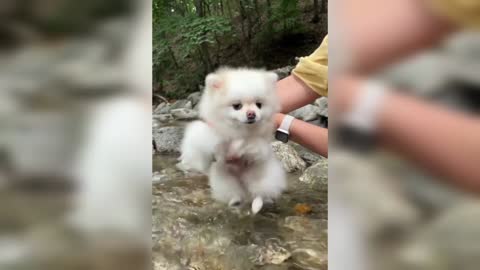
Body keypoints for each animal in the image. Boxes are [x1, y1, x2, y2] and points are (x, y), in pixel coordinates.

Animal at [179, 67, 284, 213]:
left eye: (259, 105)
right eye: (237, 106)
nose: (251, 114)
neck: (239, 129)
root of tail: (242, 181)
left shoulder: (259, 142)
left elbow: (253, 144)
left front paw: (239, 146)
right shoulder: (206, 132)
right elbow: (211, 143)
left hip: (262, 176)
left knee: (259, 193)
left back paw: (257, 205)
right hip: (224, 180)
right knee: (235, 193)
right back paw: (235, 200)